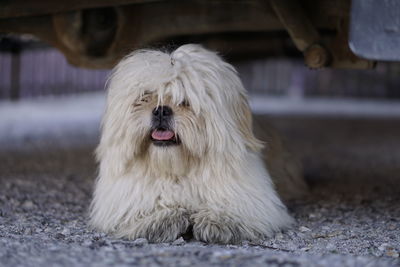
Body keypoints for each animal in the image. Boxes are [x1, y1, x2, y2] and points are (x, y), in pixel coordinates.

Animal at [89, 44, 304, 245]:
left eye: (185, 101)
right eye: (145, 96)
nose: (161, 110)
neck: (177, 170)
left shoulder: (253, 198)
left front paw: (218, 220)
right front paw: (163, 217)